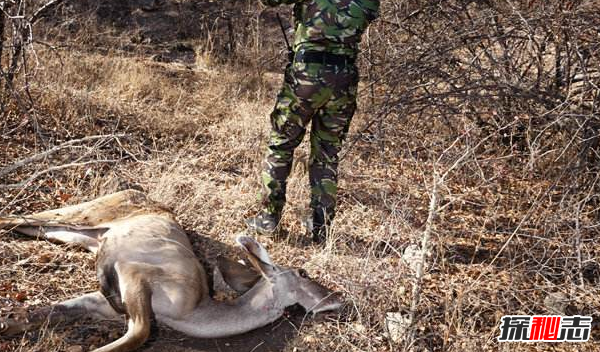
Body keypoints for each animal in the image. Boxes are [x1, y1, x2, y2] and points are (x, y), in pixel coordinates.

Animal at [0, 191, 344, 352]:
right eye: (303, 272)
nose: (338, 296)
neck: (190, 313)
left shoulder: (103, 303)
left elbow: (50, 312)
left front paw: (9, 322)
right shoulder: (134, 270)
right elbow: (139, 334)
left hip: (77, 234)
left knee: (29, 225)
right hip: (86, 213)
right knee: (17, 216)